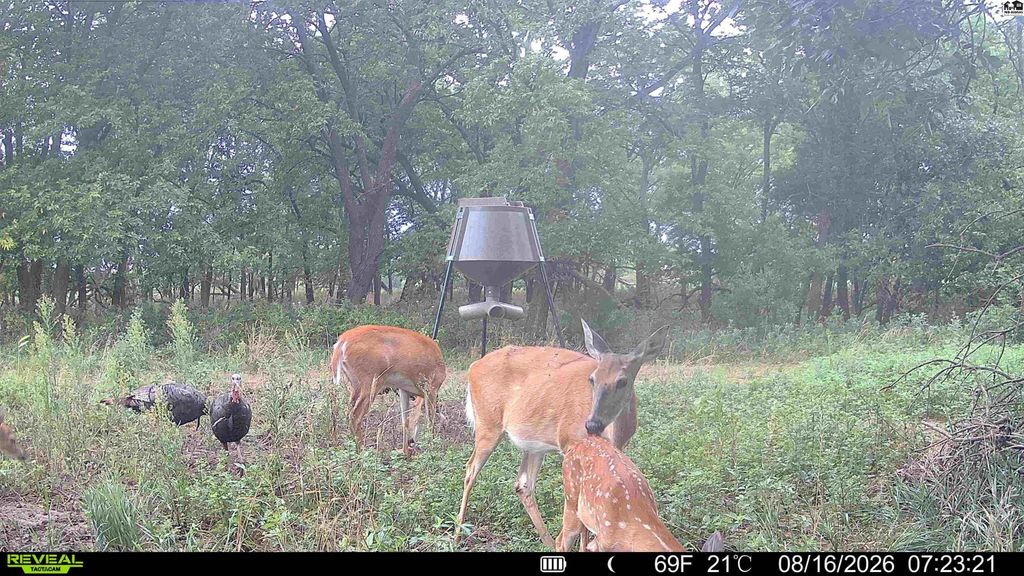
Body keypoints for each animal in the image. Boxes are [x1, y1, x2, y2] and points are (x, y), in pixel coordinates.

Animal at [329, 325, 447, 457]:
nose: (411, 443)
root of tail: (342, 342)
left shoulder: (404, 390)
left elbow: (405, 421)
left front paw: (406, 453)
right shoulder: (432, 387)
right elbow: (429, 420)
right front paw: (431, 450)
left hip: (355, 386)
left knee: (348, 412)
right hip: (371, 382)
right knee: (355, 416)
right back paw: (362, 451)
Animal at [456, 319, 669, 548]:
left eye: (622, 381)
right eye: (592, 379)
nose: (592, 424)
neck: (613, 436)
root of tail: (473, 367)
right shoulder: (570, 443)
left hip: (532, 443)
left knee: (522, 484)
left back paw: (547, 542)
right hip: (488, 424)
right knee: (470, 469)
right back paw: (458, 533)